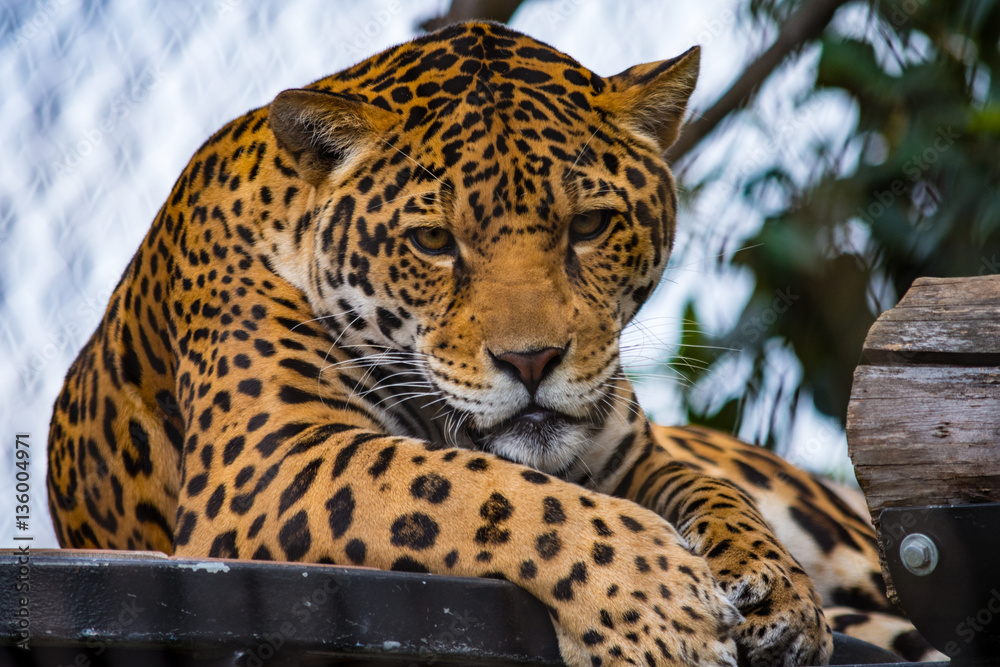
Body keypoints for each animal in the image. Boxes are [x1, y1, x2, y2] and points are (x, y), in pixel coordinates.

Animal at [47, 21, 939, 666]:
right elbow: (480, 491)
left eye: (589, 226)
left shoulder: (629, 455)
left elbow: (710, 491)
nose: (531, 362)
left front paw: (776, 590)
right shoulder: (272, 458)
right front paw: (663, 611)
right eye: (433, 242)